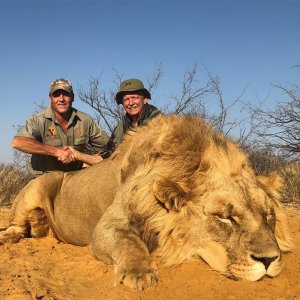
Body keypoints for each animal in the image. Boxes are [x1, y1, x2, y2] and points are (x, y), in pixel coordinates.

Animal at [0, 114, 292, 288]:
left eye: (268, 215)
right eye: (224, 217)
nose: (269, 260)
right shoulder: (108, 226)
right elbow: (129, 242)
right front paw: (139, 273)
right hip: (40, 185)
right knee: (16, 224)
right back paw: (9, 237)